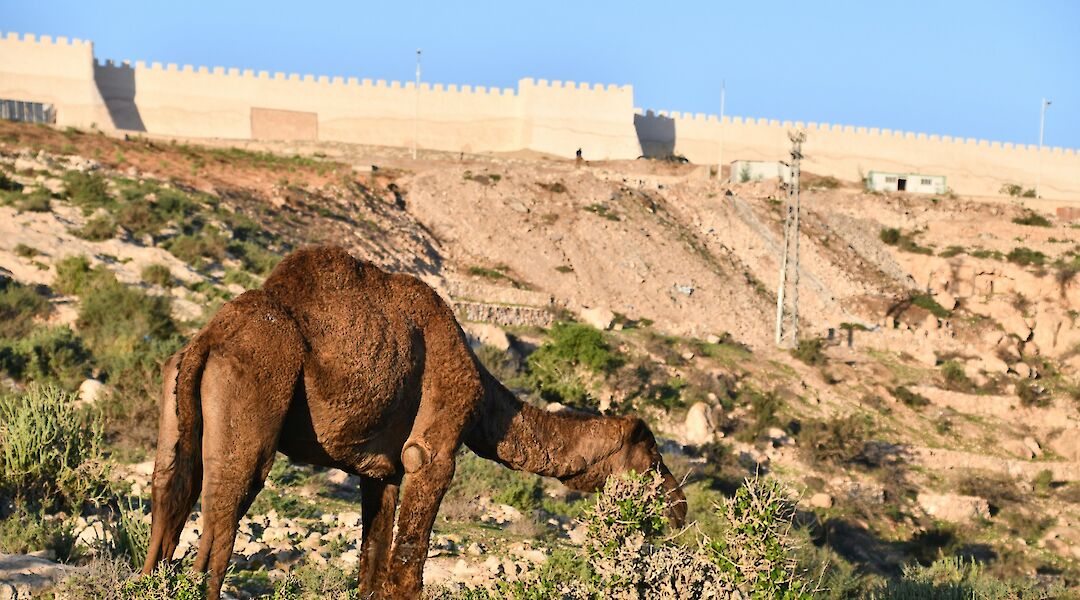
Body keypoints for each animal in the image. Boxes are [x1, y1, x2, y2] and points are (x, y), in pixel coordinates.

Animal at [141, 244, 682, 600]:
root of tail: (209, 340)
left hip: (175, 391)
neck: (486, 401)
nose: (677, 508)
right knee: (223, 514)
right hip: (251, 395)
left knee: (171, 492)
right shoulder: (434, 441)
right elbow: (409, 557)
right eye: (653, 457)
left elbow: (373, 558)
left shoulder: (378, 469)